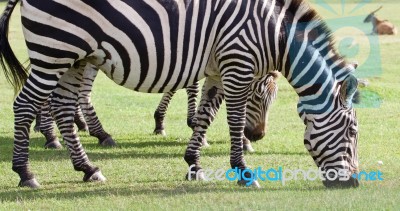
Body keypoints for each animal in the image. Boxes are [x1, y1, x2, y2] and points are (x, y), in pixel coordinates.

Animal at [0, 0, 360, 188]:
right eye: (353, 132)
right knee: (26, 104)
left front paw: (193, 163)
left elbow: (206, 115)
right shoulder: (237, 64)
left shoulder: (216, 69)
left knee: (62, 106)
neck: (273, 34)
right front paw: (243, 171)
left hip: (76, 58)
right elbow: (232, 119)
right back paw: (27, 173)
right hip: (56, 51)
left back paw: (88, 168)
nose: (354, 182)